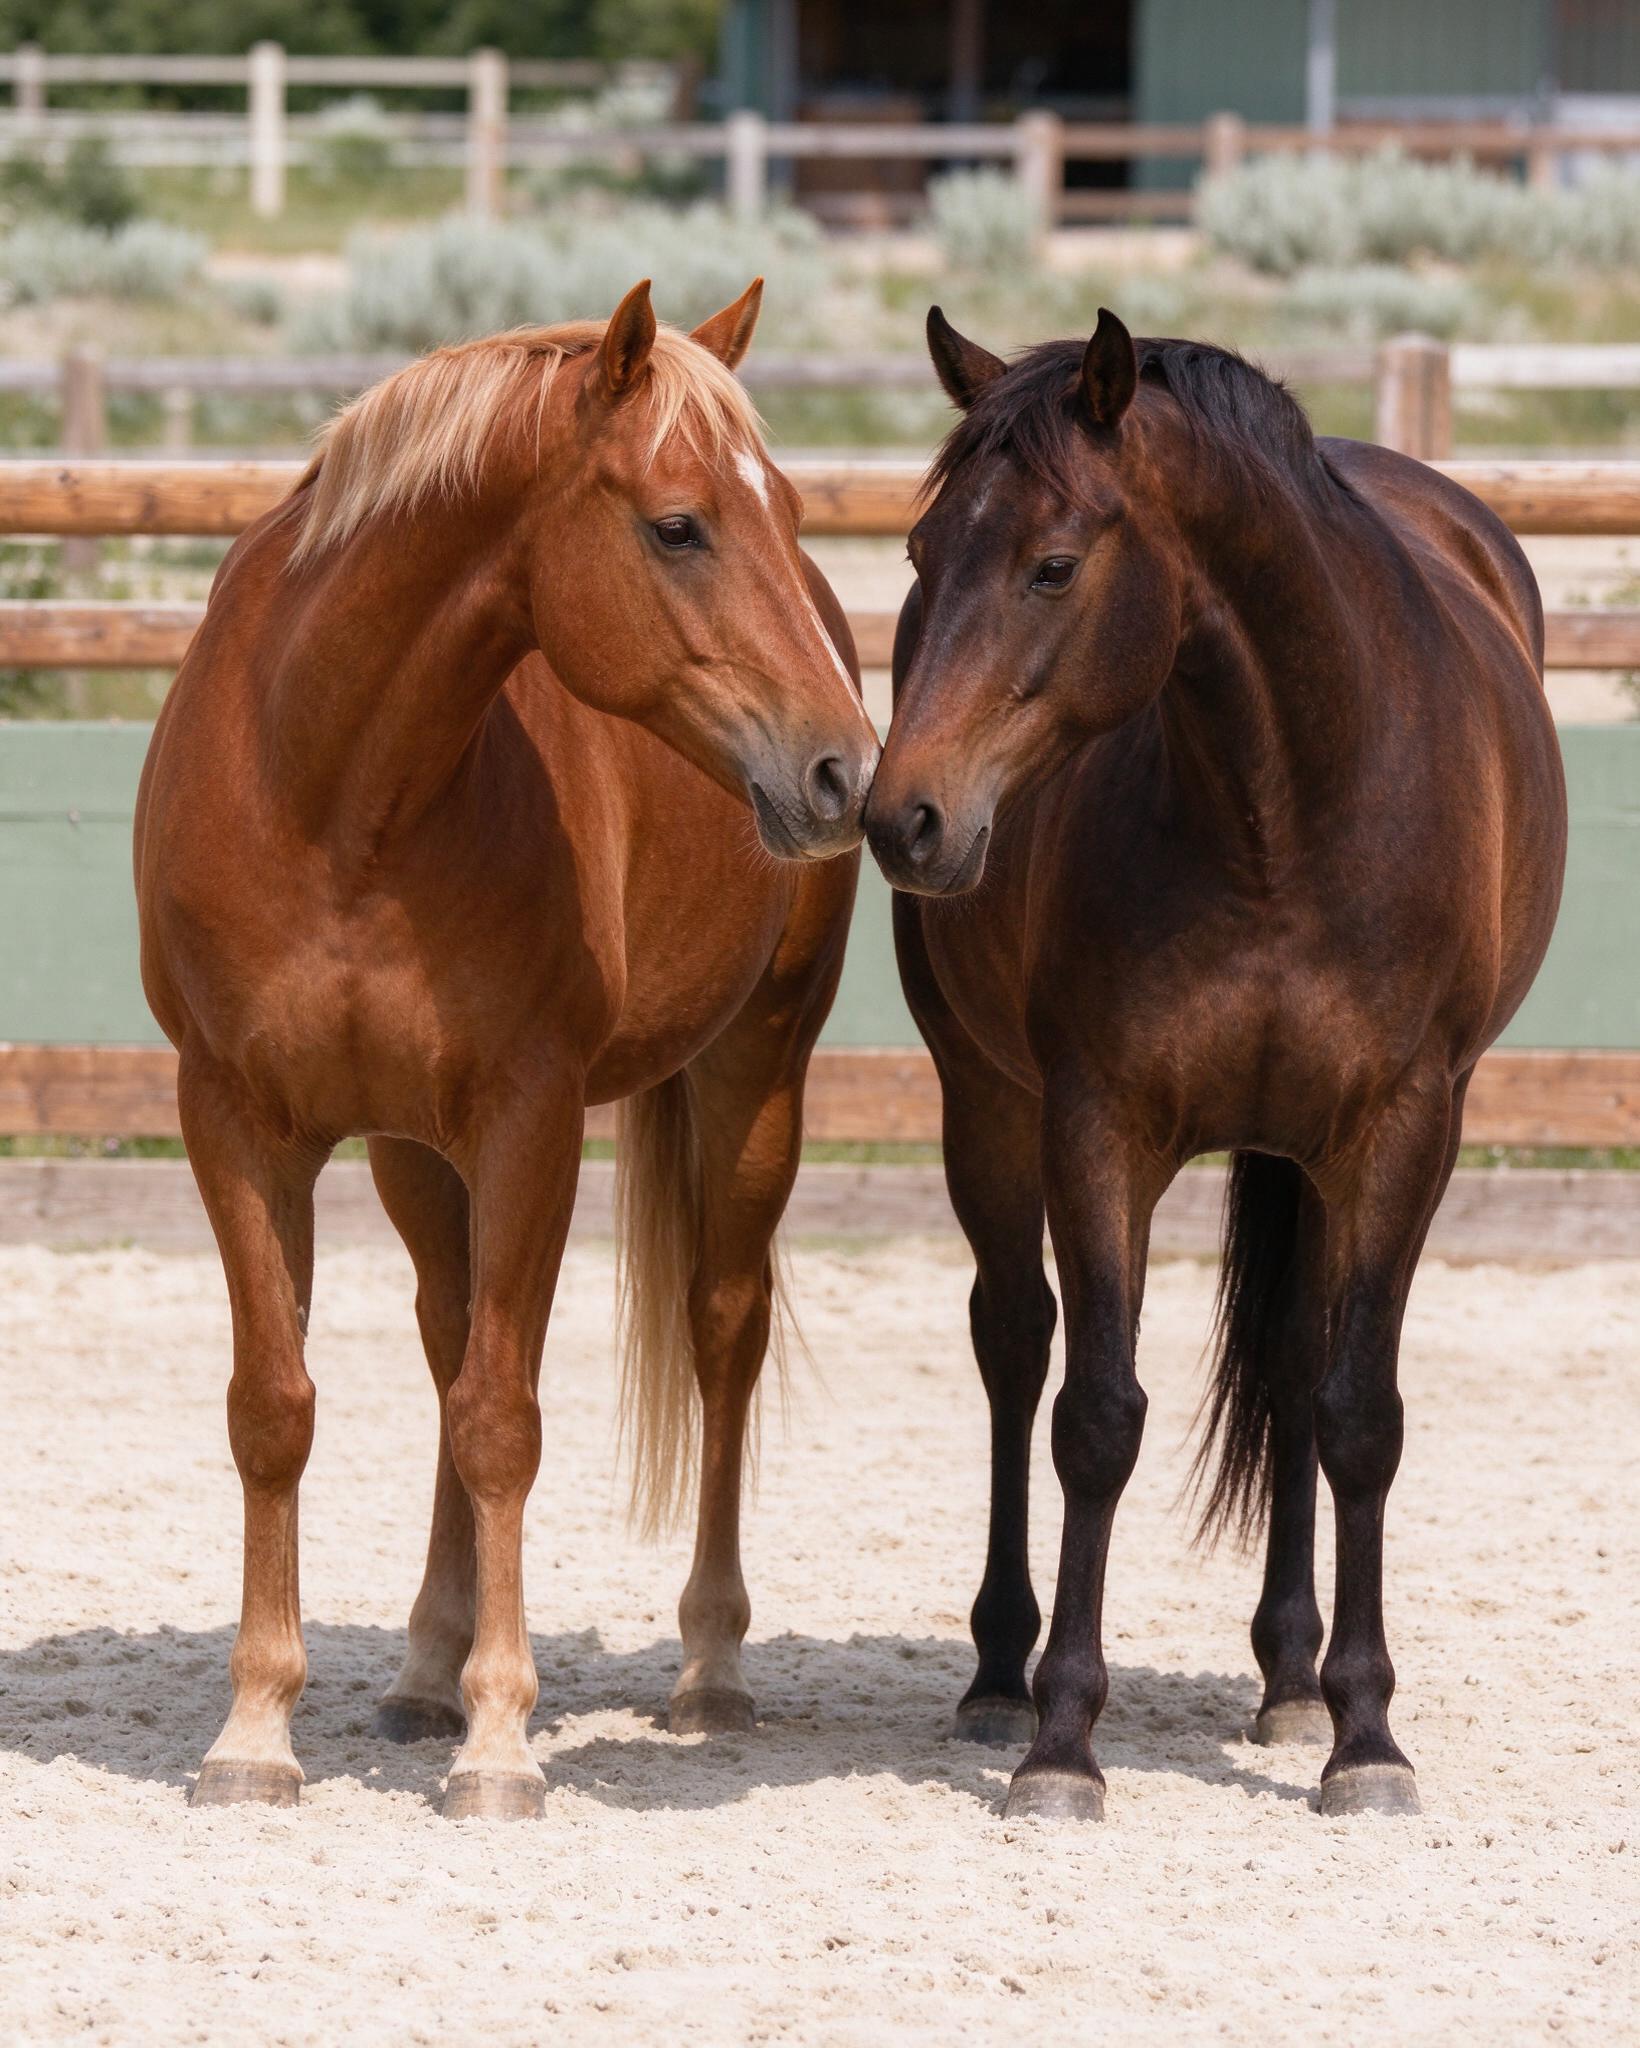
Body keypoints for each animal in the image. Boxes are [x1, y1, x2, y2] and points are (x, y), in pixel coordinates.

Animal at [134, 279, 880, 1822]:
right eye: (678, 523)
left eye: (785, 510)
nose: (846, 768)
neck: (332, 792)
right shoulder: (236, 1120)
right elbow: (278, 1407)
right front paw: (257, 1728)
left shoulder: (533, 1120)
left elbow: (503, 1417)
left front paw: (499, 1739)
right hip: (412, 1151)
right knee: (443, 1328)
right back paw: (423, 1665)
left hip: (754, 1077)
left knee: (722, 1331)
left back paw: (708, 1666)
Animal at [864, 308, 1566, 1822]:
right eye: (920, 556)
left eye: (1053, 563)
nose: (906, 821)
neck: (1287, 803)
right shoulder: (1095, 1124)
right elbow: (1093, 1414)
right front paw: (1062, 1741)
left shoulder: (1401, 1131)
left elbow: (1355, 1413)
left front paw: (1366, 1734)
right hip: (984, 1106)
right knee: (1014, 1343)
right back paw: (998, 1673)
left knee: (1295, 1363)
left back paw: (1293, 1679)